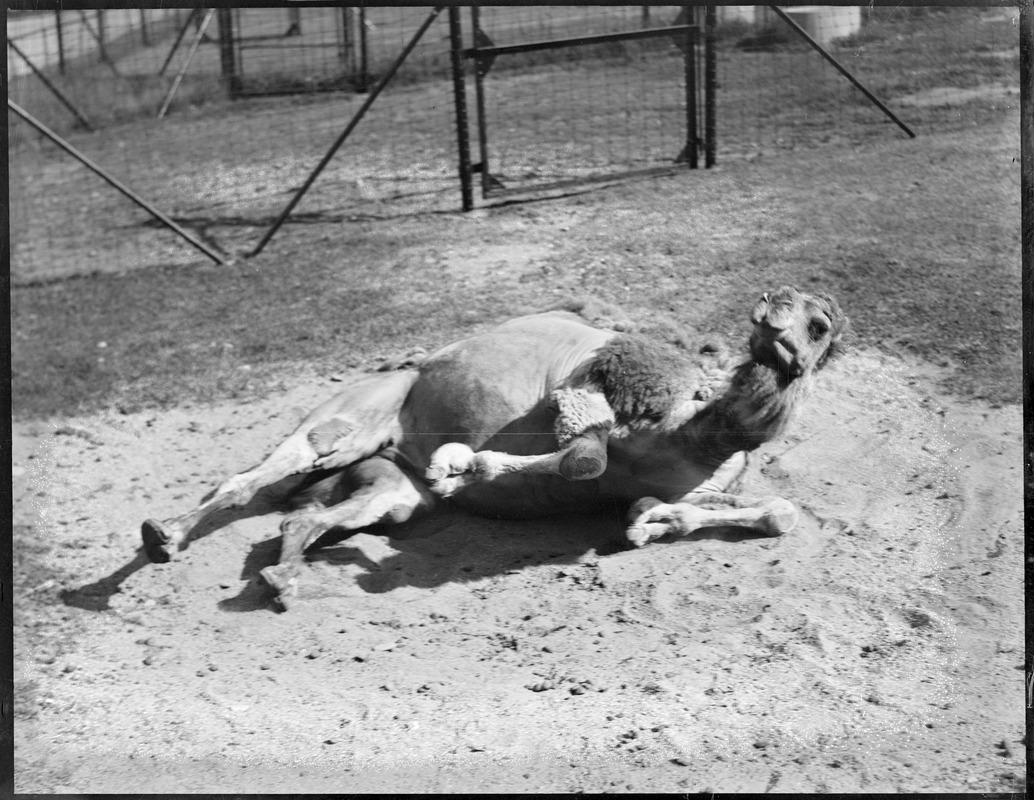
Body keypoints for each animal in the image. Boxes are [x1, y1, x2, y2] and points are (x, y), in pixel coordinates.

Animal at [139, 285, 847, 611]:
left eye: (821, 323)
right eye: (790, 306)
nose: (772, 309)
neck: (698, 429)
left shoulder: (694, 476)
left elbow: (778, 512)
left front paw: (652, 522)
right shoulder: (596, 385)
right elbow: (583, 455)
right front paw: (463, 464)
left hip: (394, 487)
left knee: (314, 514)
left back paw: (283, 577)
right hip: (354, 414)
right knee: (257, 475)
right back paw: (162, 535)